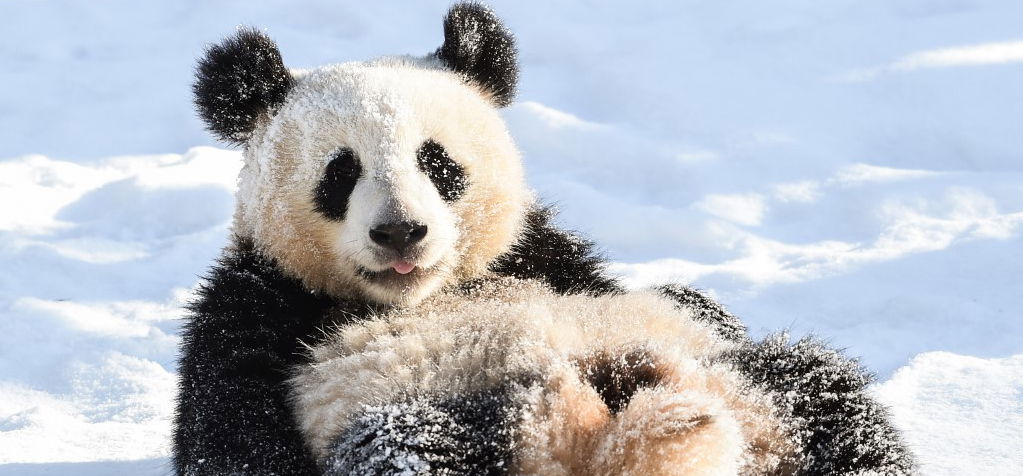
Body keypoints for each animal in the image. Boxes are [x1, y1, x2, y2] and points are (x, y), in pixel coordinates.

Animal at [171, 3, 916, 474]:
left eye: (437, 163)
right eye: (341, 172)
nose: (401, 232)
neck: (422, 294)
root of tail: (590, 429)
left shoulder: (545, 257)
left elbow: (671, 298)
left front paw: (699, 298)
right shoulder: (260, 302)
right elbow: (227, 433)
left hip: (741, 387)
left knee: (828, 399)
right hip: (433, 412)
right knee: (406, 449)